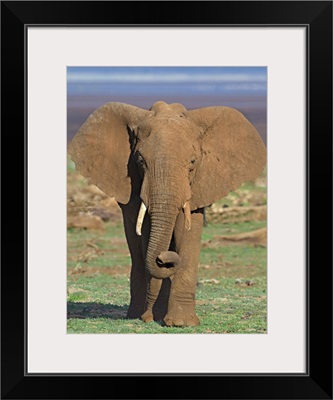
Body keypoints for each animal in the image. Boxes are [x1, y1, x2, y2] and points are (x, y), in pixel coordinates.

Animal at [68, 101, 266, 326]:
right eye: (140, 161)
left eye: (193, 162)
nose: (164, 259)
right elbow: (146, 233)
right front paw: (152, 318)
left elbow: (188, 234)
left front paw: (182, 323)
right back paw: (136, 314)